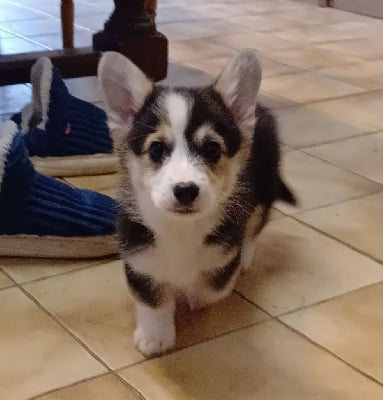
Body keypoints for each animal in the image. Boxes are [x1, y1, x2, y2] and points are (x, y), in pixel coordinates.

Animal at [98, 50, 296, 356]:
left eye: (212, 149)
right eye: (156, 149)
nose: (186, 190)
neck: (181, 229)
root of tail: (259, 109)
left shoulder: (223, 255)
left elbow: (211, 289)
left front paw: (192, 294)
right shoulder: (140, 259)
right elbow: (153, 301)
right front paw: (155, 338)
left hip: (263, 192)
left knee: (255, 227)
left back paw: (246, 257)